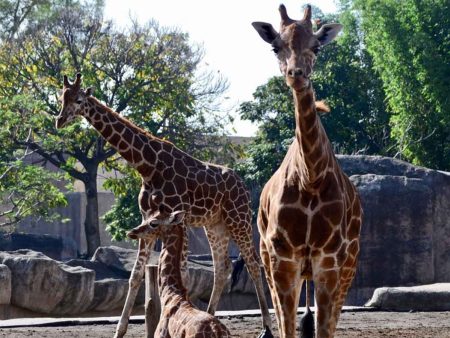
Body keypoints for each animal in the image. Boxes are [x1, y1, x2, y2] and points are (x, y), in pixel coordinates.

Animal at [251, 4, 364, 338]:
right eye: (276, 46)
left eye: (316, 47)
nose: (296, 74)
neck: (310, 177)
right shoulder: (282, 258)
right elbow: (287, 327)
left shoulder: (329, 260)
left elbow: (325, 328)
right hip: (271, 261)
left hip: (348, 264)